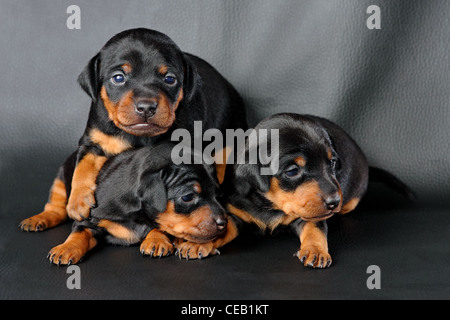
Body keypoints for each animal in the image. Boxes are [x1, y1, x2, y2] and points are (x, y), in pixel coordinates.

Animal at [20, 27, 246, 232]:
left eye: (170, 79)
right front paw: (78, 200)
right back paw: (41, 217)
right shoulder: (92, 140)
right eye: (118, 78)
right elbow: (82, 167)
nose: (146, 106)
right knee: (56, 201)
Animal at [47, 143, 227, 264]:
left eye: (218, 194)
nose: (224, 223)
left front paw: (156, 240)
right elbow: (80, 232)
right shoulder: (89, 219)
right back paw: (42, 219)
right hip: (60, 180)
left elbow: (159, 225)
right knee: (55, 205)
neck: (135, 216)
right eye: (188, 197)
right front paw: (66, 248)